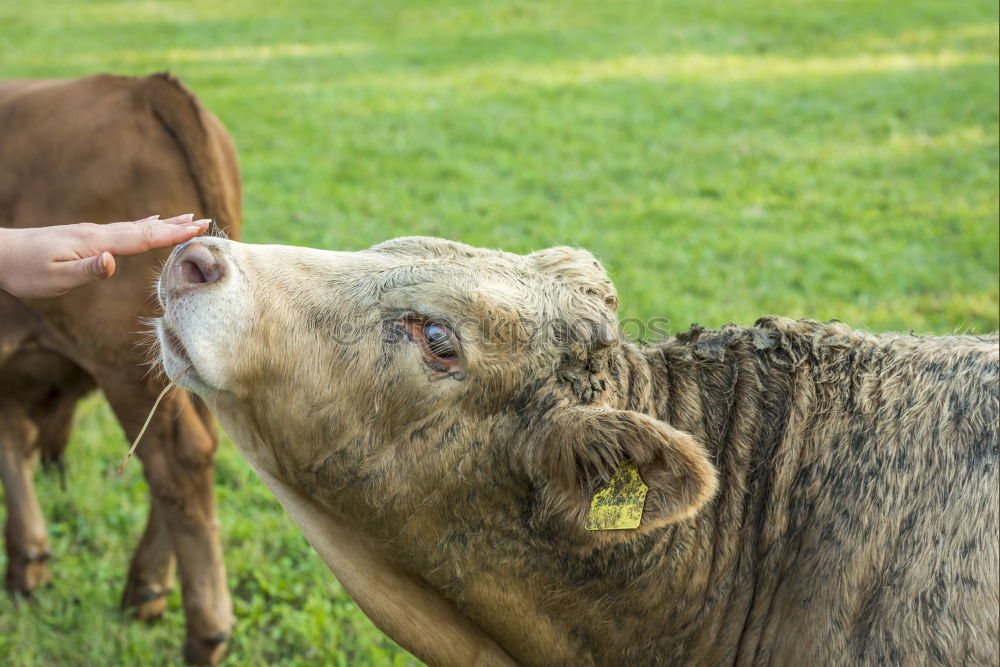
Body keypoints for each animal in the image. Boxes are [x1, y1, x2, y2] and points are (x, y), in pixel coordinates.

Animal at [0, 70, 240, 664]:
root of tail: (144, 86)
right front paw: (28, 557)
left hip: (130, 366)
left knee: (176, 461)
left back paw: (203, 628)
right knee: (196, 451)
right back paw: (146, 588)